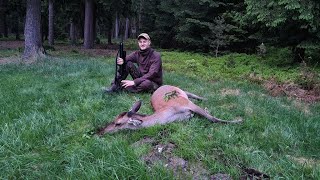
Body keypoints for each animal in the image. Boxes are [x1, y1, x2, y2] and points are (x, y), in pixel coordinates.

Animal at [97, 84, 242, 135]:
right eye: (114, 119)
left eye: (118, 123)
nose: (101, 131)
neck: (168, 114)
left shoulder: (187, 104)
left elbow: (213, 119)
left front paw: (238, 120)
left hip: (182, 92)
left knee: (192, 94)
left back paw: (206, 99)